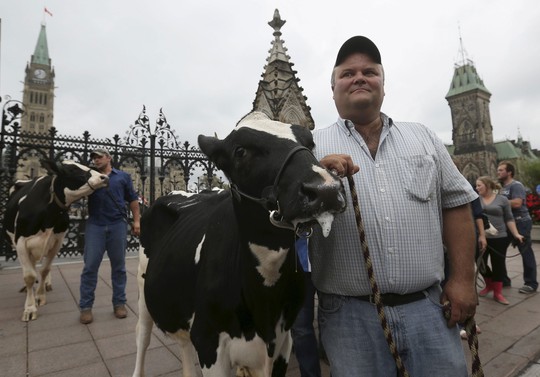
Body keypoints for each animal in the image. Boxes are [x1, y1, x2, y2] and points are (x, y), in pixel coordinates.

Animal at [3, 159, 108, 320]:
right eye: (71, 170)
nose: (104, 177)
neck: (49, 213)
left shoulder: (57, 241)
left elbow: (45, 269)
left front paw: (40, 296)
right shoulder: (21, 242)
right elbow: (29, 275)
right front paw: (30, 308)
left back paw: (46, 284)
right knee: (30, 266)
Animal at [134, 111, 346, 376]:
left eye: (309, 143)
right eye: (240, 151)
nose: (326, 189)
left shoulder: (282, 343)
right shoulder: (209, 343)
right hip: (143, 290)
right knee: (142, 337)